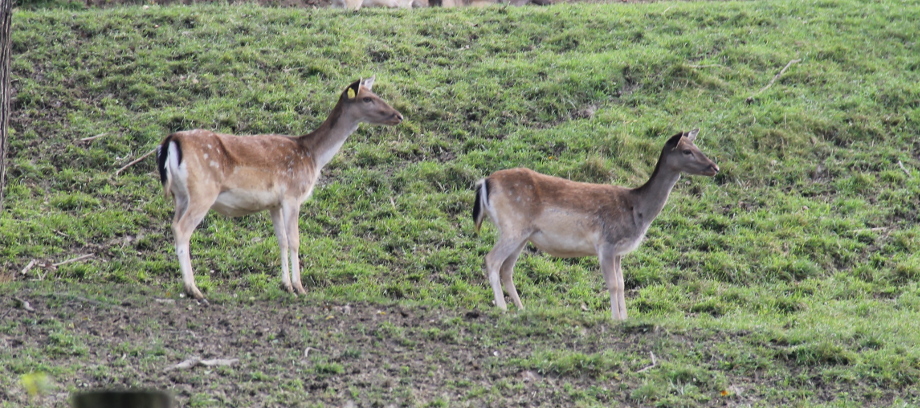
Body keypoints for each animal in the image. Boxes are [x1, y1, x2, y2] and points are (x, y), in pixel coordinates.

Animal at [155, 77, 402, 300]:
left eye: (376, 94)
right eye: (368, 99)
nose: (398, 115)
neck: (313, 156)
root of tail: (171, 140)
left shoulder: (273, 203)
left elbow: (281, 240)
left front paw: (286, 286)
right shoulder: (292, 194)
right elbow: (295, 240)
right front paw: (300, 287)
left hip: (180, 195)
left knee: (175, 224)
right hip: (203, 191)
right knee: (182, 228)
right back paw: (193, 289)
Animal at [474, 129, 720, 320]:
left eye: (696, 145)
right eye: (687, 151)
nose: (715, 167)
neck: (638, 210)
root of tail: (485, 182)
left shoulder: (619, 251)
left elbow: (622, 284)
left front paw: (624, 318)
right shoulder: (606, 243)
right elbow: (612, 284)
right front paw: (615, 318)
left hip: (522, 234)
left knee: (507, 268)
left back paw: (521, 308)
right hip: (513, 227)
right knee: (492, 259)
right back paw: (502, 307)